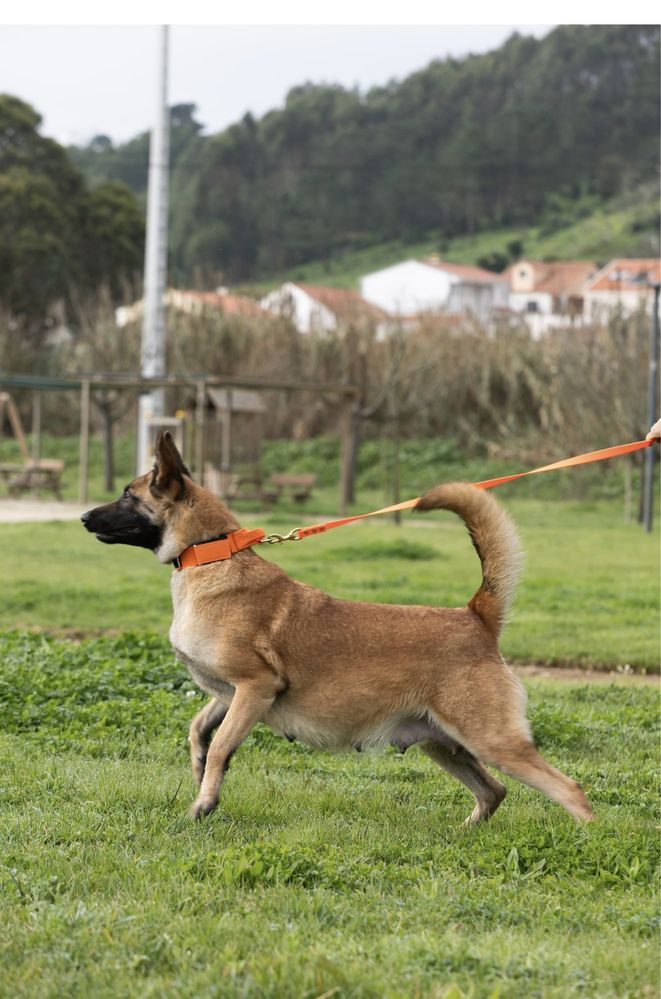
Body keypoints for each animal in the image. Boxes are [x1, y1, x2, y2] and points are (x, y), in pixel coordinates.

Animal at [82, 434, 592, 824]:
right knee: (493, 792)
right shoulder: (229, 695)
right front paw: (201, 772)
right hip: (445, 745)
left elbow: (223, 744)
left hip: (492, 739)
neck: (214, 555)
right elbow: (199, 732)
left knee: (571, 791)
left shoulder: (255, 687)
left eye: (128, 495)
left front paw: (204, 803)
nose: (84, 517)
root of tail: (475, 617)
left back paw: (584, 842)